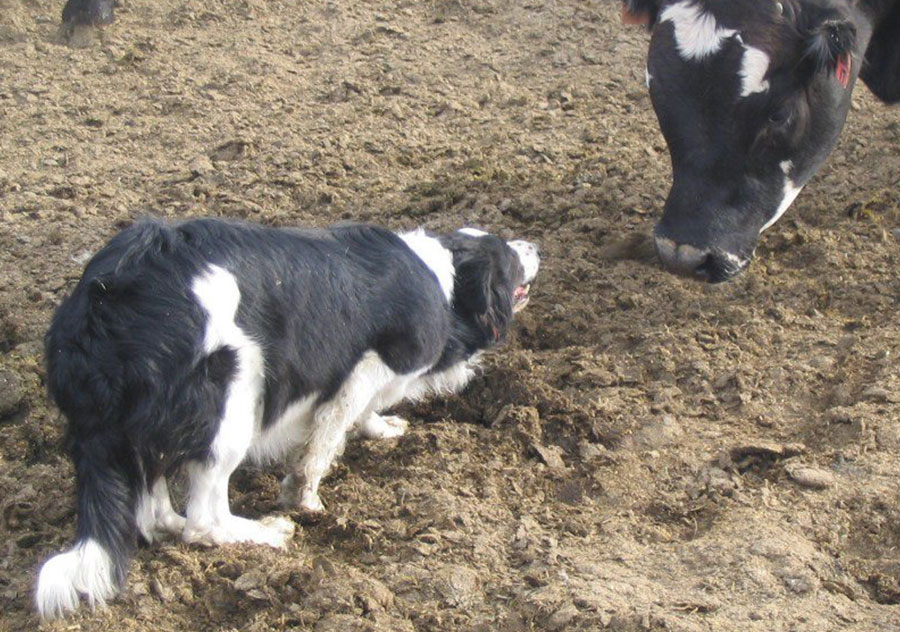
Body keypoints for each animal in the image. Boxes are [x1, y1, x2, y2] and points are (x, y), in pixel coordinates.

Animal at [35, 216, 536, 616]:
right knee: (205, 518)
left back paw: (174, 523)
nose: (535, 246)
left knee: (154, 510)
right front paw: (305, 498)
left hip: (146, 427)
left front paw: (380, 428)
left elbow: (363, 414)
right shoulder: (369, 365)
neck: (444, 281)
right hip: (235, 392)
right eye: (509, 256)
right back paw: (264, 533)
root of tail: (102, 303)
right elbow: (329, 435)